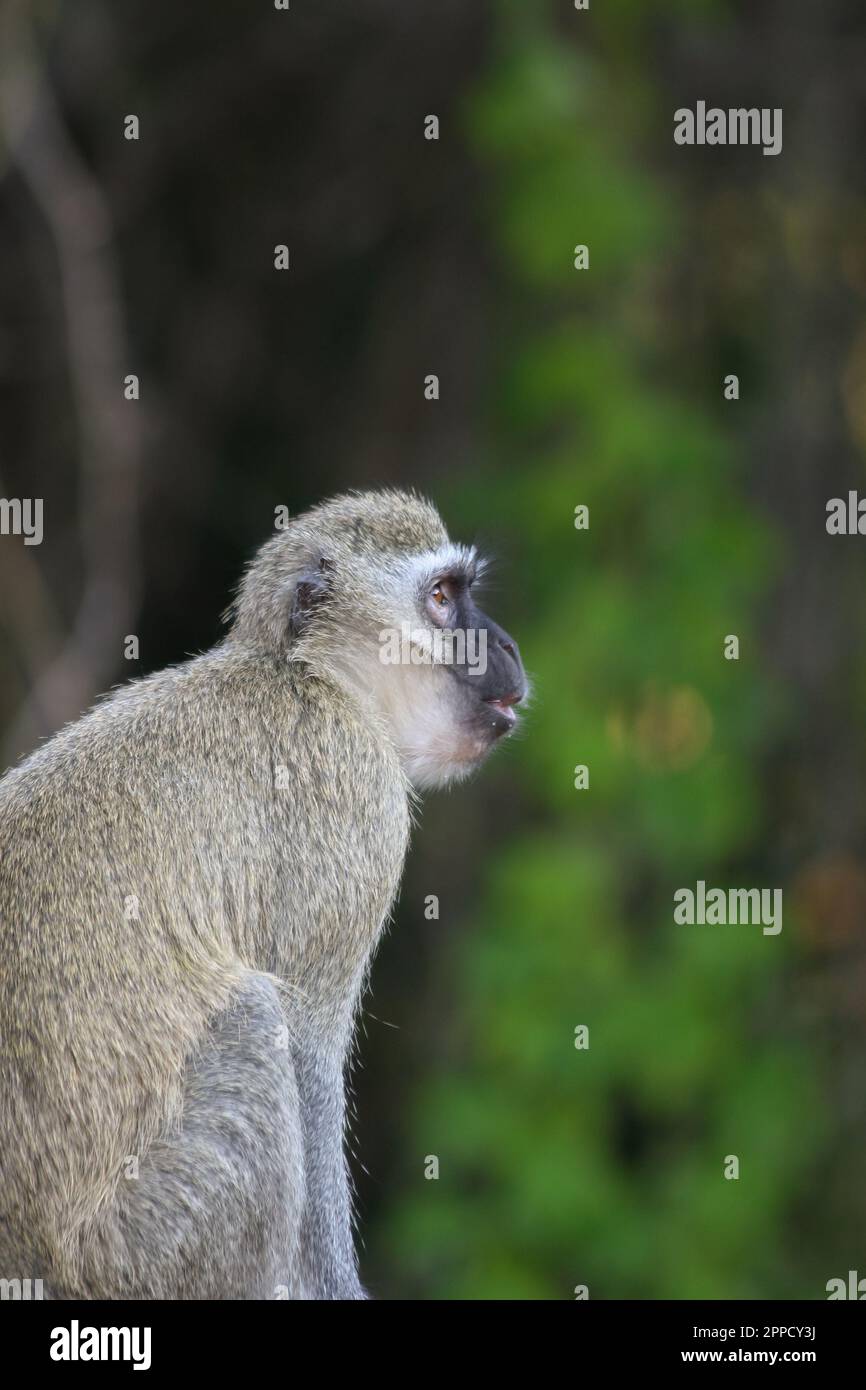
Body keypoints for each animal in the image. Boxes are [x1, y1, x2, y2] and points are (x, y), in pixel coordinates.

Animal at [0, 489, 526, 1300]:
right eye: (441, 598)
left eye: (462, 592)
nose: (505, 646)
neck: (311, 676)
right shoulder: (355, 796)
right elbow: (308, 1048)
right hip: (135, 1247)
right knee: (252, 1019)